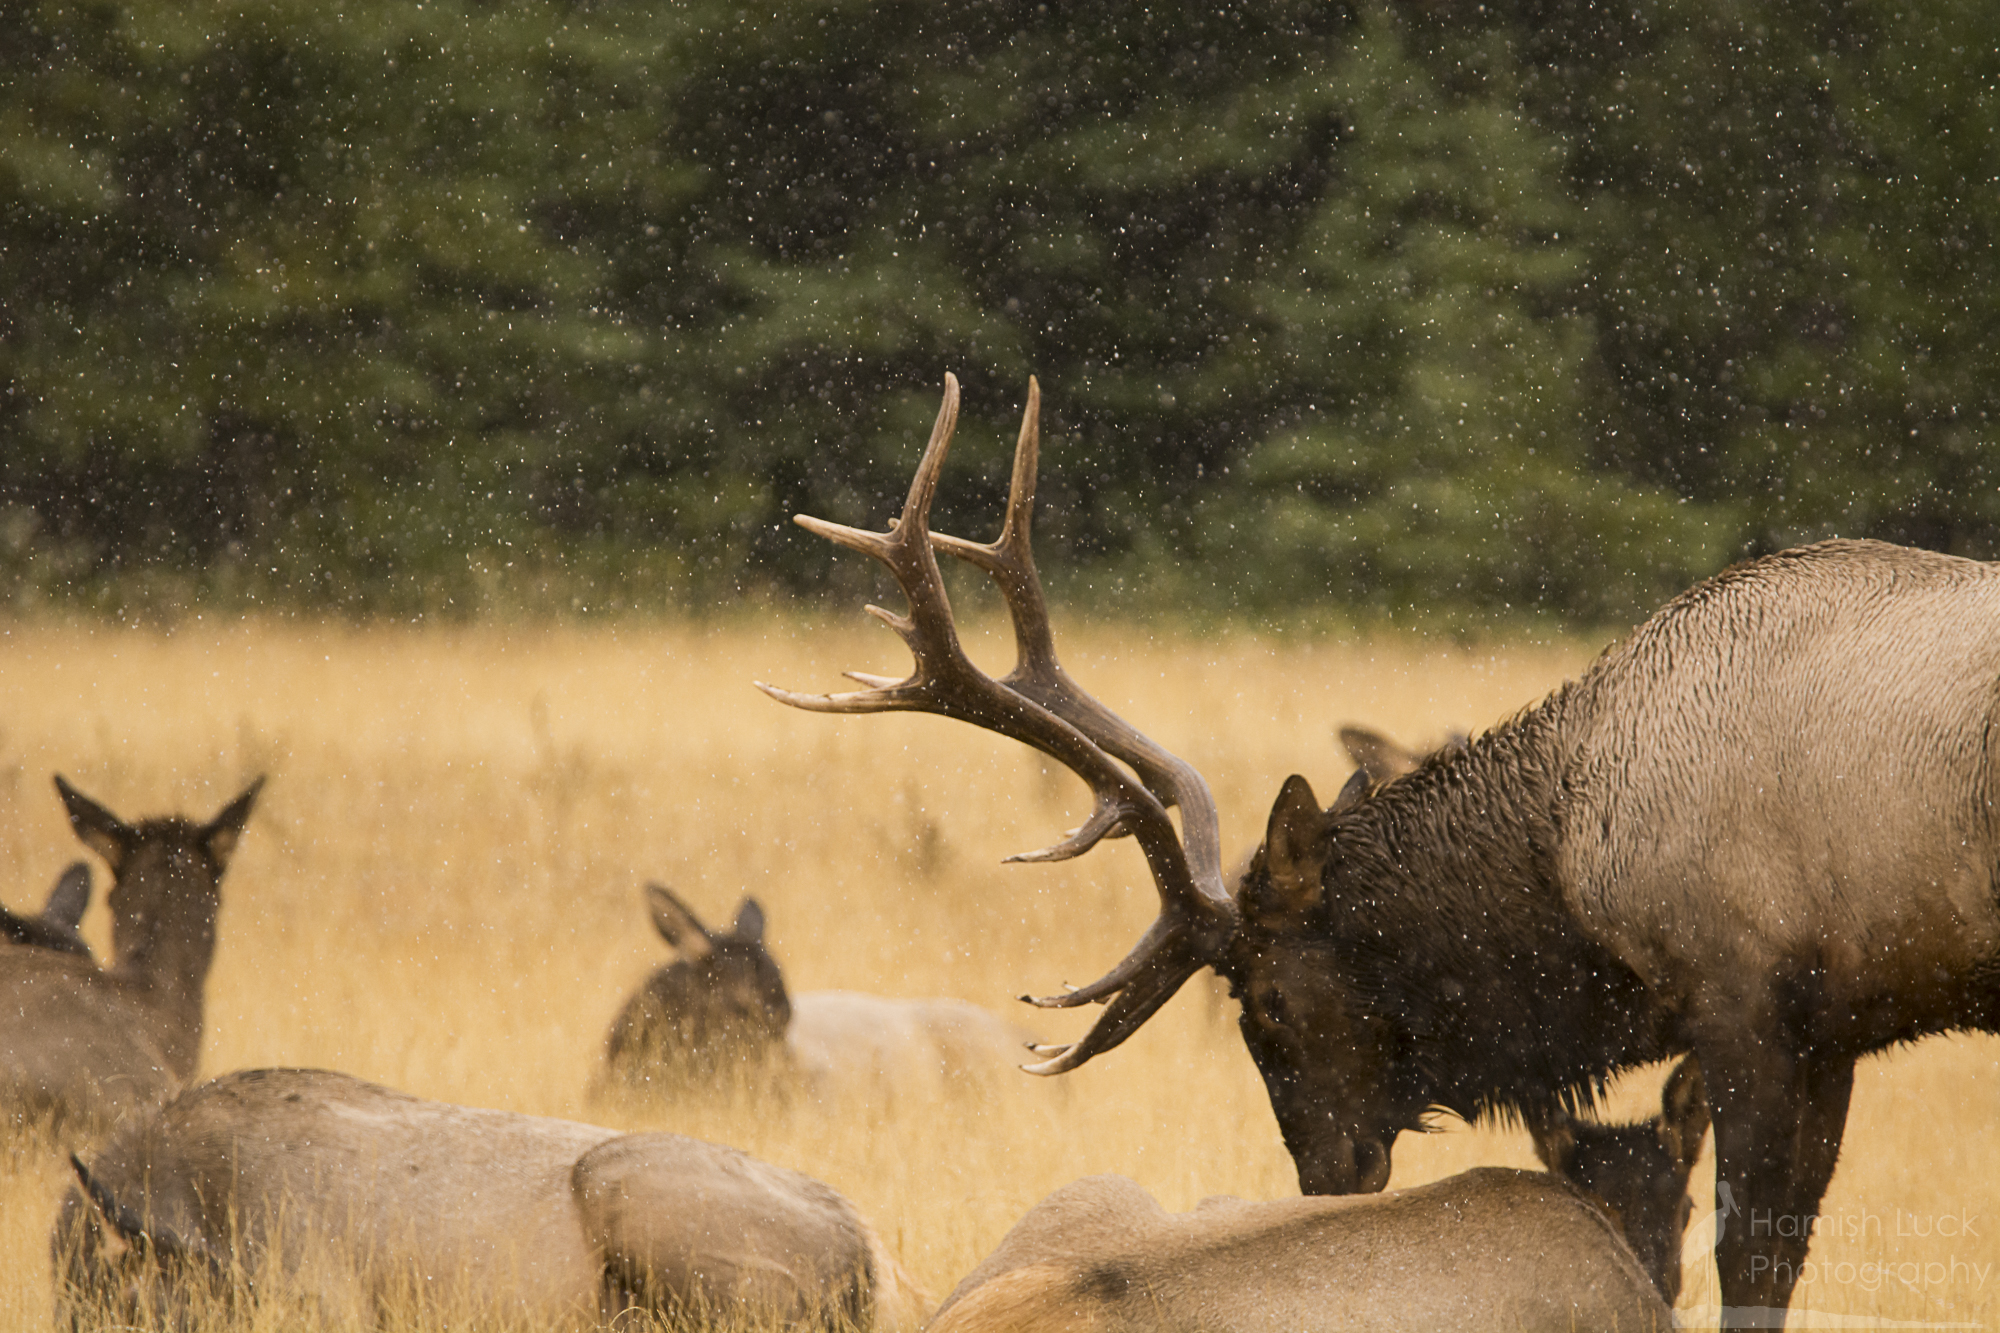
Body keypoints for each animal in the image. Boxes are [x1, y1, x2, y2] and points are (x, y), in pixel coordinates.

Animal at [760, 374, 2000, 1320]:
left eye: (1258, 1004)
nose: (1325, 1183)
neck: (1577, 874)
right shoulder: (1832, 1020)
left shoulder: (1749, 995)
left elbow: (1753, 1260)